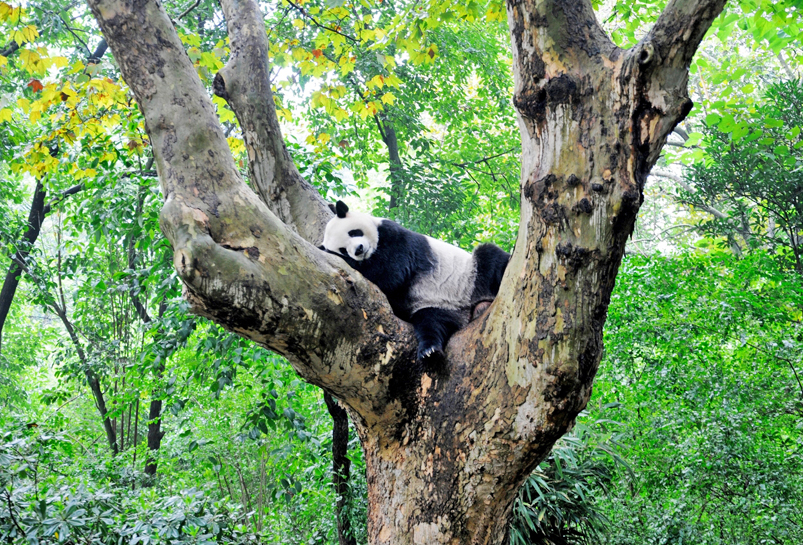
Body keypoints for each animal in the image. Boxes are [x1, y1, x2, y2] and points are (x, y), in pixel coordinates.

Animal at [320, 200, 509, 363]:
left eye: (354, 232)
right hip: (440, 305)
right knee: (431, 321)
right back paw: (430, 351)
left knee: (491, 258)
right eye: (343, 249)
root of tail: (468, 309)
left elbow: (390, 273)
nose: (359, 250)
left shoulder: (396, 238)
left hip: (471, 275)